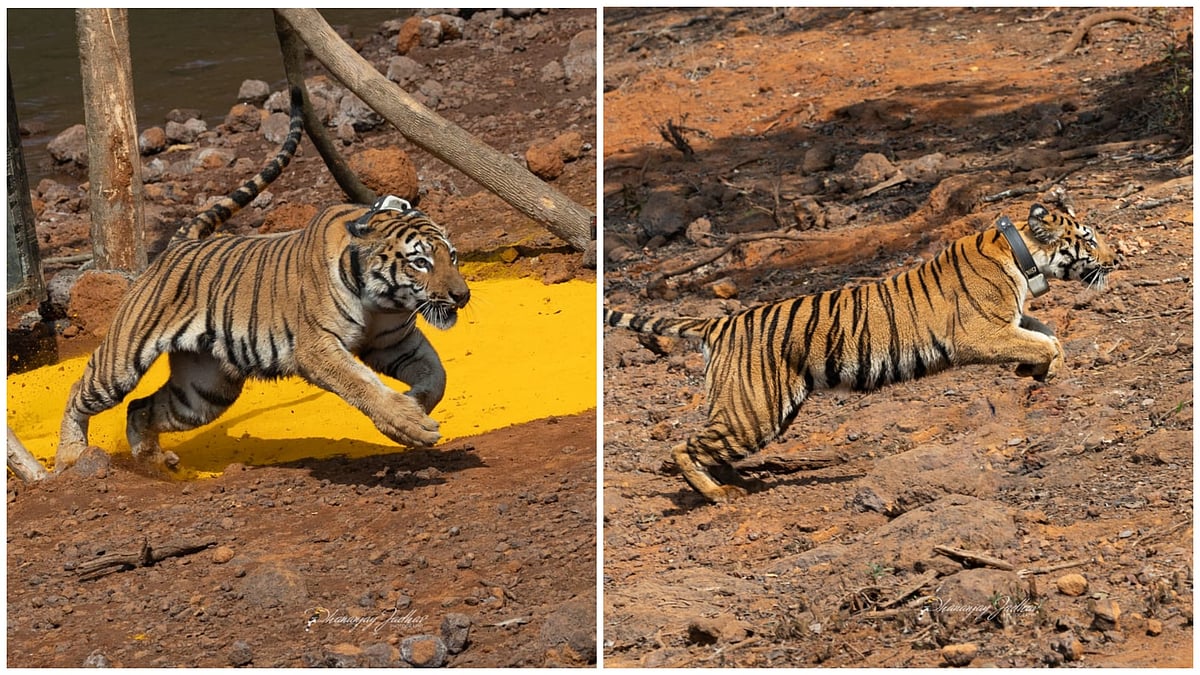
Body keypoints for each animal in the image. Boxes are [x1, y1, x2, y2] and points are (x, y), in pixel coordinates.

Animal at [55, 101, 470, 474]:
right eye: (421, 263)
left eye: (452, 256)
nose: (462, 295)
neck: (384, 302)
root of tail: (178, 244)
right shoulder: (317, 347)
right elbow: (361, 384)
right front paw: (410, 423)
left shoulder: (395, 342)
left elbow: (437, 376)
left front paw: (416, 405)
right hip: (122, 361)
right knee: (79, 391)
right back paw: (70, 458)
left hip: (203, 391)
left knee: (141, 407)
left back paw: (154, 463)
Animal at [604, 203, 1116, 503]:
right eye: (1089, 238)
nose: (1118, 257)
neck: (1022, 256)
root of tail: (720, 321)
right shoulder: (980, 333)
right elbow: (1044, 340)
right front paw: (1042, 368)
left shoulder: (1010, 320)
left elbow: (1048, 333)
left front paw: (1034, 368)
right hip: (755, 411)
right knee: (682, 446)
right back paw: (718, 495)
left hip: (759, 411)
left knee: (710, 443)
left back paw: (737, 481)